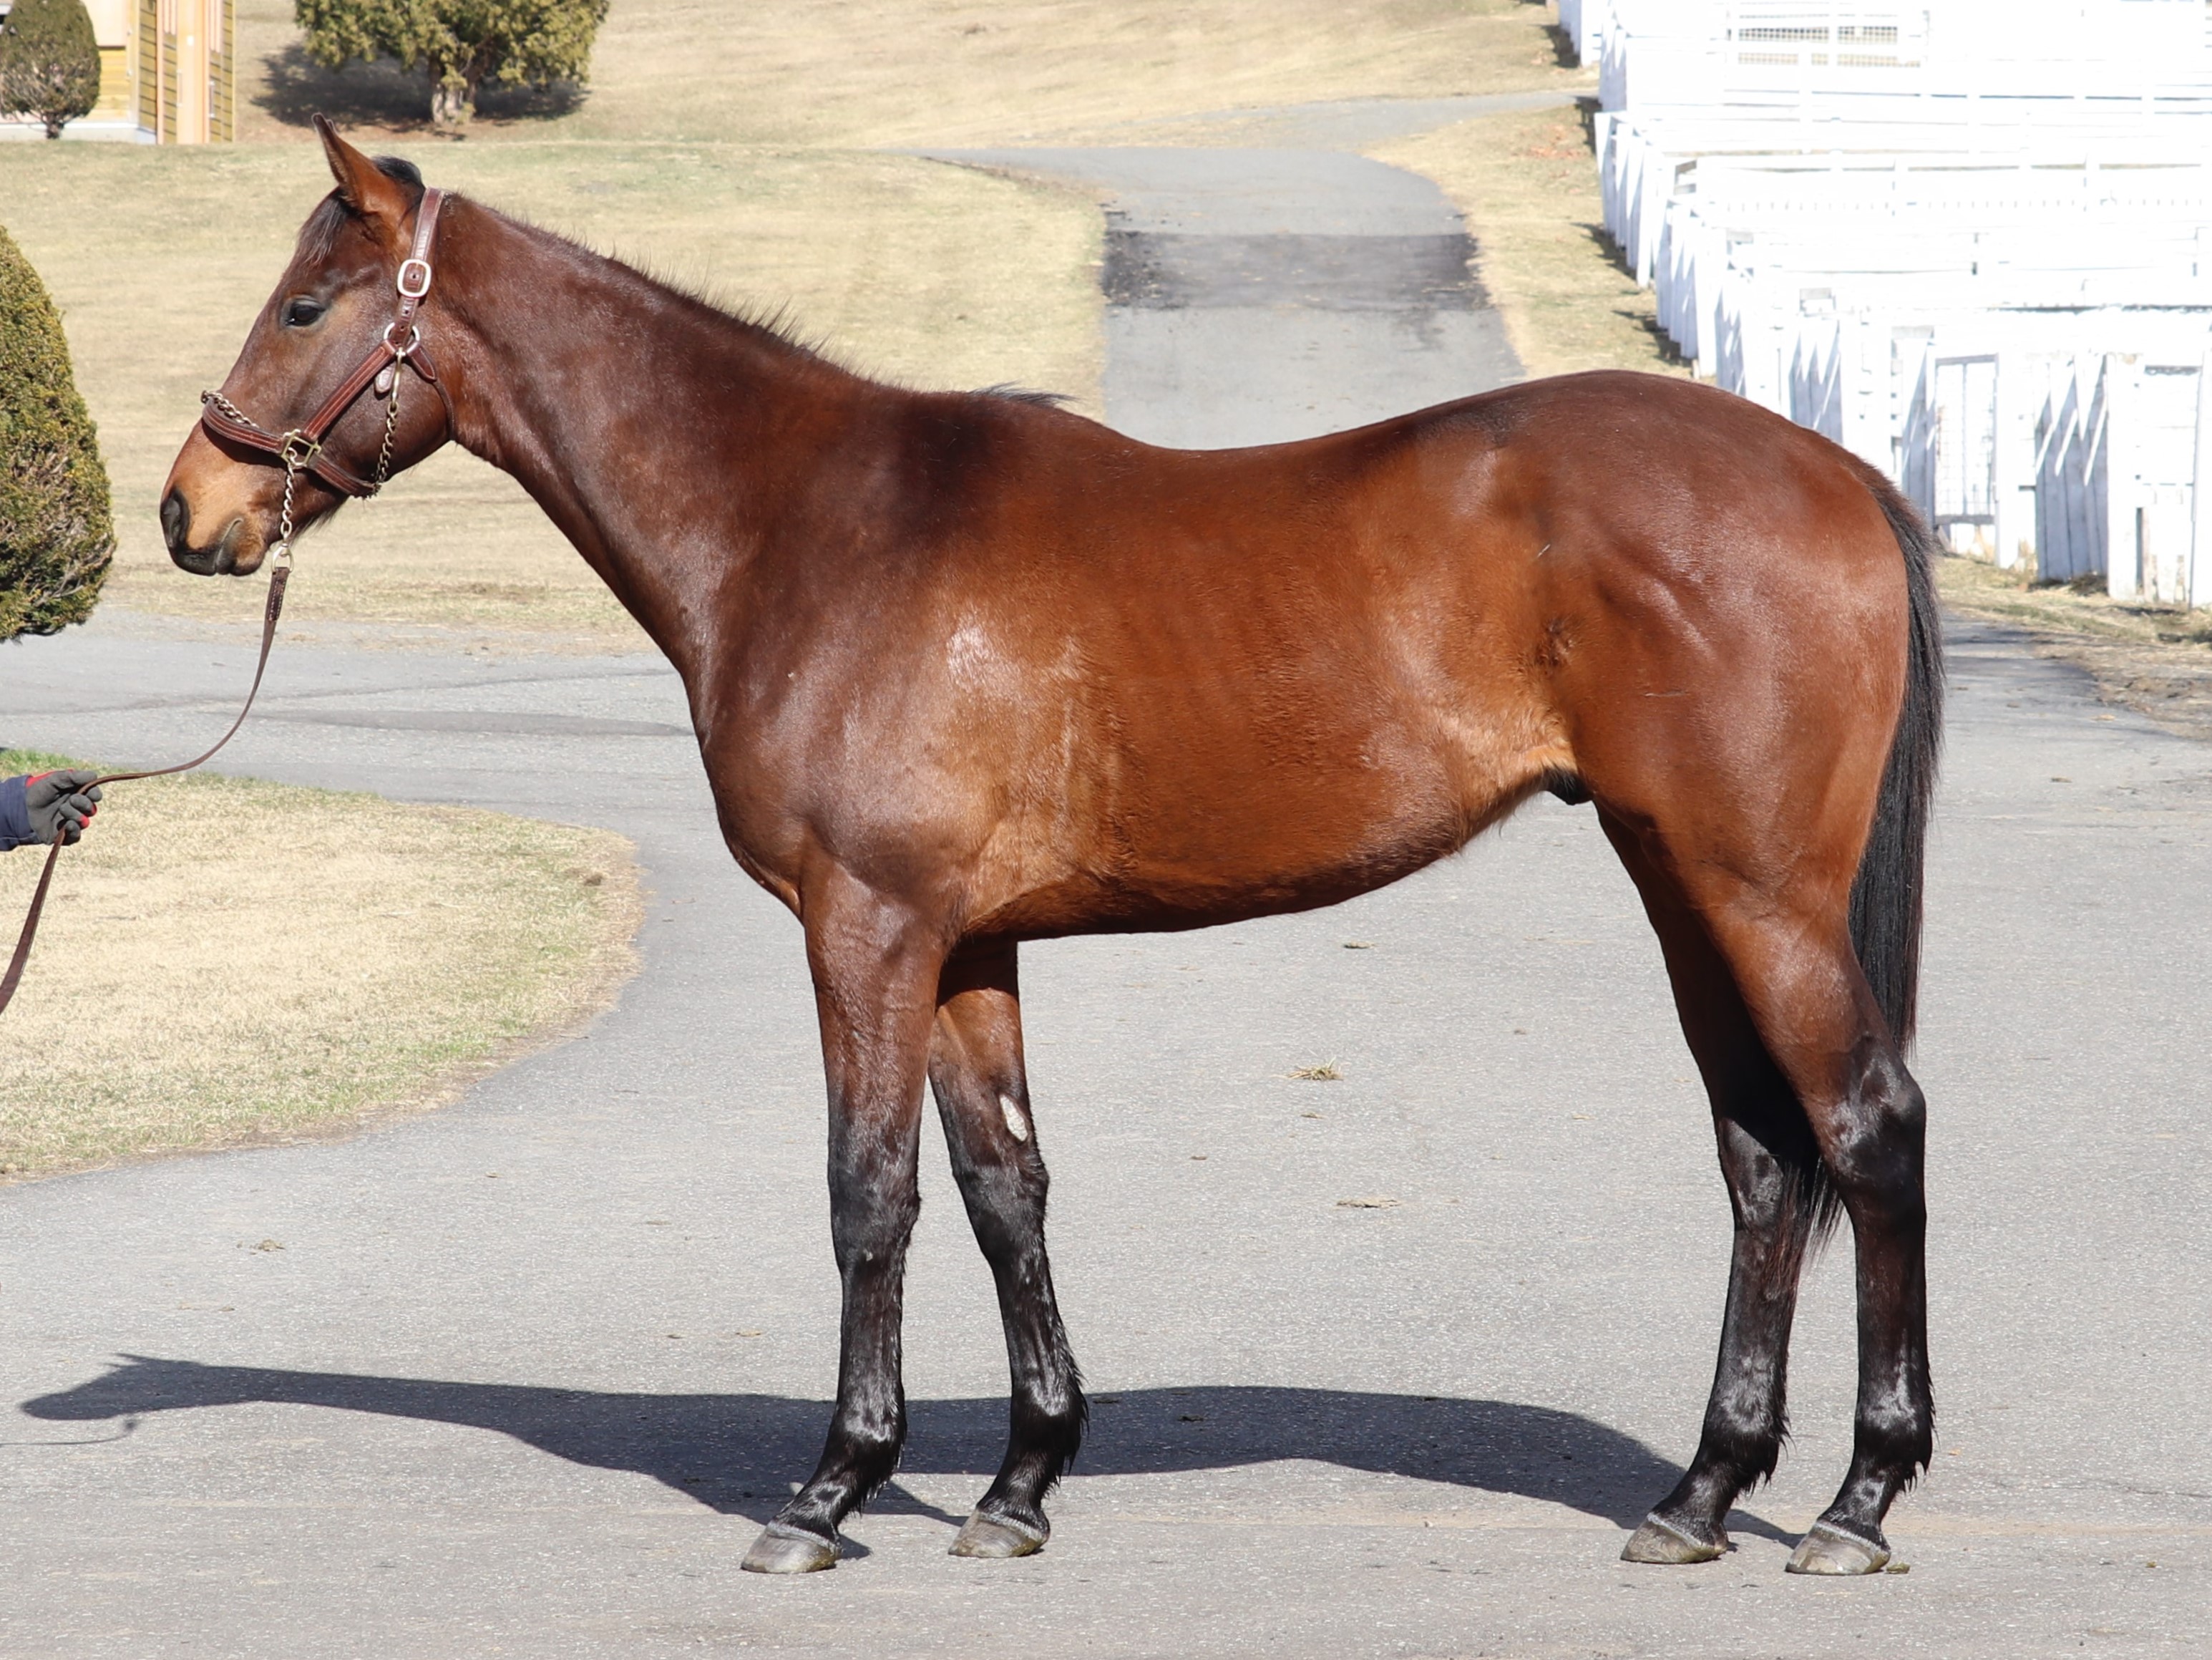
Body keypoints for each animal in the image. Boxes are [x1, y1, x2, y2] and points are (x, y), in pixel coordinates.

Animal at [160, 120, 1942, 1578]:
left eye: (306, 306)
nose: (190, 511)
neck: (809, 529)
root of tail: (1840, 474)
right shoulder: (965, 943)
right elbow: (1003, 1184)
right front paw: (1018, 1482)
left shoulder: (864, 927)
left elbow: (869, 1190)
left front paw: (831, 1489)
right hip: (1680, 884)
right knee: (1763, 1157)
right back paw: (1700, 1493)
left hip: (1757, 893)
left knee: (1868, 1125)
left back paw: (1857, 1500)